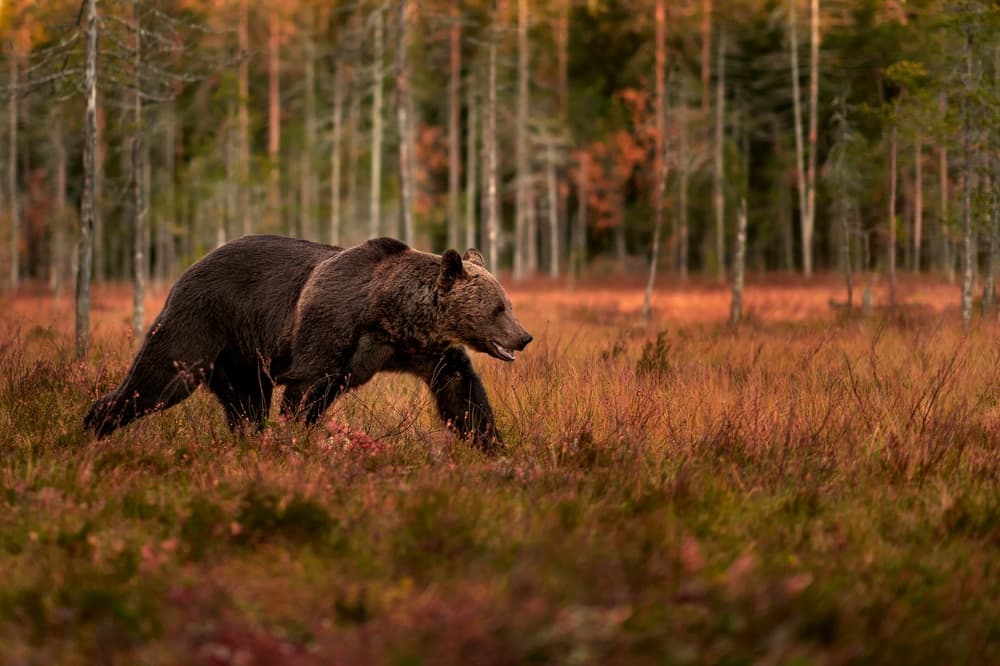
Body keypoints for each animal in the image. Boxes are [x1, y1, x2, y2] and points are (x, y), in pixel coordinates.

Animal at [83, 235, 532, 452]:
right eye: (498, 308)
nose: (524, 337)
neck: (389, 313)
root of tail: (190, 268)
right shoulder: (330, 329)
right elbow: (306, 391)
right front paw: (296, 442)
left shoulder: (421, 348)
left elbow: (461, 390)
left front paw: (493, 446)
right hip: (203, 323)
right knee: (160, 377)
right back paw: (93, 426)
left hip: (243, 358)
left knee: (246, 406)